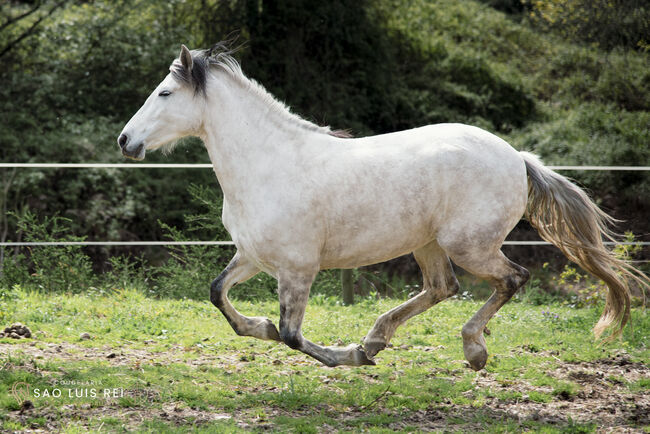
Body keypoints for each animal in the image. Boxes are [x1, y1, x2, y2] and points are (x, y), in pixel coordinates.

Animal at [119, 45, 644, 370]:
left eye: (165, 93)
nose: (126, 140)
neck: (269, 164)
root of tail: (517, 156)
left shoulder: (298, 269)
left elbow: (291, 334)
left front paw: (348, 357)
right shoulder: (252, 257)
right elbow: (220, 297)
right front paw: (264, 326)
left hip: (468, 245)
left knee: (512, 279)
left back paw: (470, 349)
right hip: (429, 244)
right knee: (443, 287)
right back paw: (378, 338)